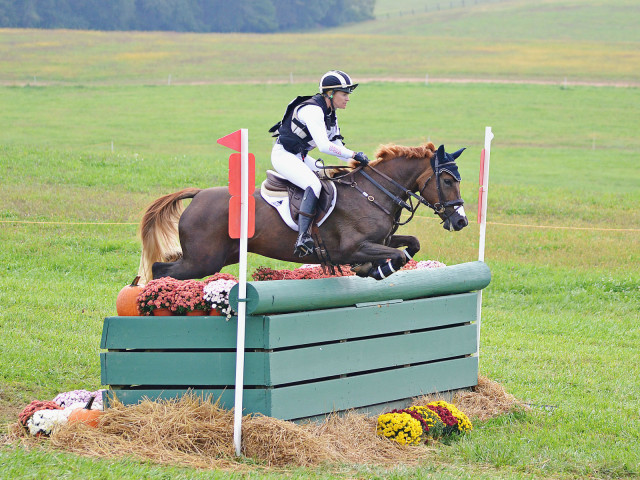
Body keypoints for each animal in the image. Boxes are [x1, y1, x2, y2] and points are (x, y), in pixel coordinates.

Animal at [138, 141, 468, 284]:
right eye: (447, 181)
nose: (461, 220)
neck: (372, 192)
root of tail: (198, 195)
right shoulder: (354, 247)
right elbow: (397, 256)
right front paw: (373, 270)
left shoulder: (382, 240)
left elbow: (411, 244)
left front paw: (372, 268)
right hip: (202, 261)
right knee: (161, 270)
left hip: (219, 256)